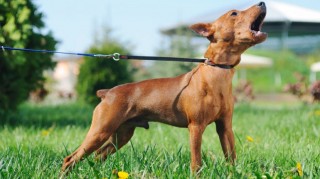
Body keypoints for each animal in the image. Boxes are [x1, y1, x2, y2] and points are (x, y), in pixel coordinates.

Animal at [61, 1, 266, 172]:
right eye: (234, 13)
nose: (262, 3)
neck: (217, 71)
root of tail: (107, 93)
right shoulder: (196, 127)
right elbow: (196, 162)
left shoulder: (225, 127)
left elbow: (231, 157)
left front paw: (234, 173)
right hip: (100, 131)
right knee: (71, 158)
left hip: (121, 135)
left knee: (97, 156)